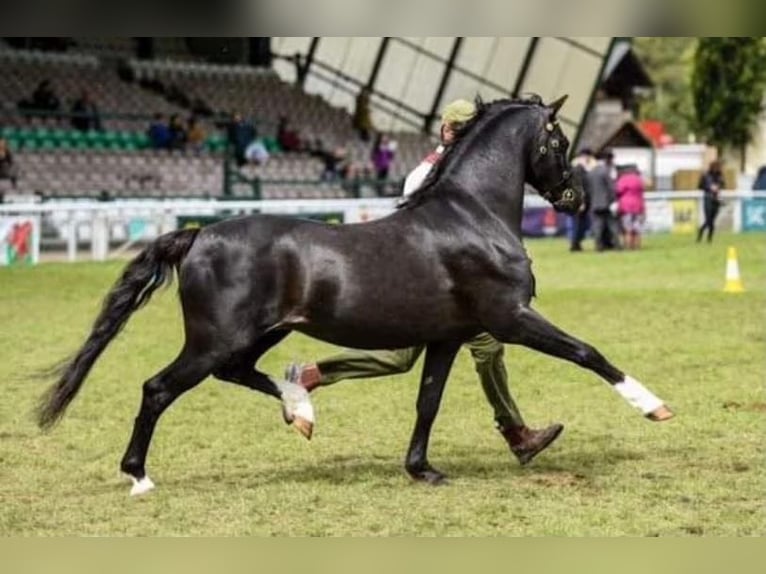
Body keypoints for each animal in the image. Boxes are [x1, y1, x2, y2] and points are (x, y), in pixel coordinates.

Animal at [37, 94, 672, 496]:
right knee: (159, 388)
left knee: (239, 373)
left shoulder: (447, 337)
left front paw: (423, 470)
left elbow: (428, 401)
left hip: (263, 332)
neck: (470, 216)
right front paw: (655, 407)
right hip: (216, 338)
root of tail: (197, 234)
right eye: (558, 139)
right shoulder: (511, 317)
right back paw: (140, 476)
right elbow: (587, 352)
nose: (574, 198)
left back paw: (302, 410)